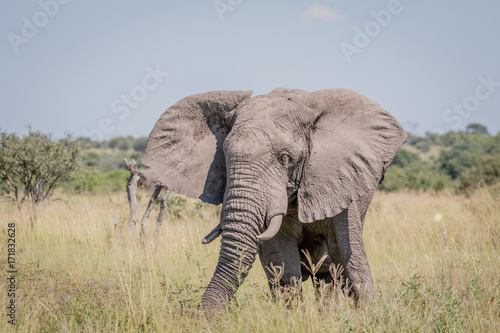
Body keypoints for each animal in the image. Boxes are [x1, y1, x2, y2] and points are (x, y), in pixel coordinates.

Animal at [143, 87, 408, 308]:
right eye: (224, 157)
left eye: (285, 159)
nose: (200, 317)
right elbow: (283, 264)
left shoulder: (341, 180)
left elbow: (348, 256)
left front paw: (370, 314)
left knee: (328, 272)